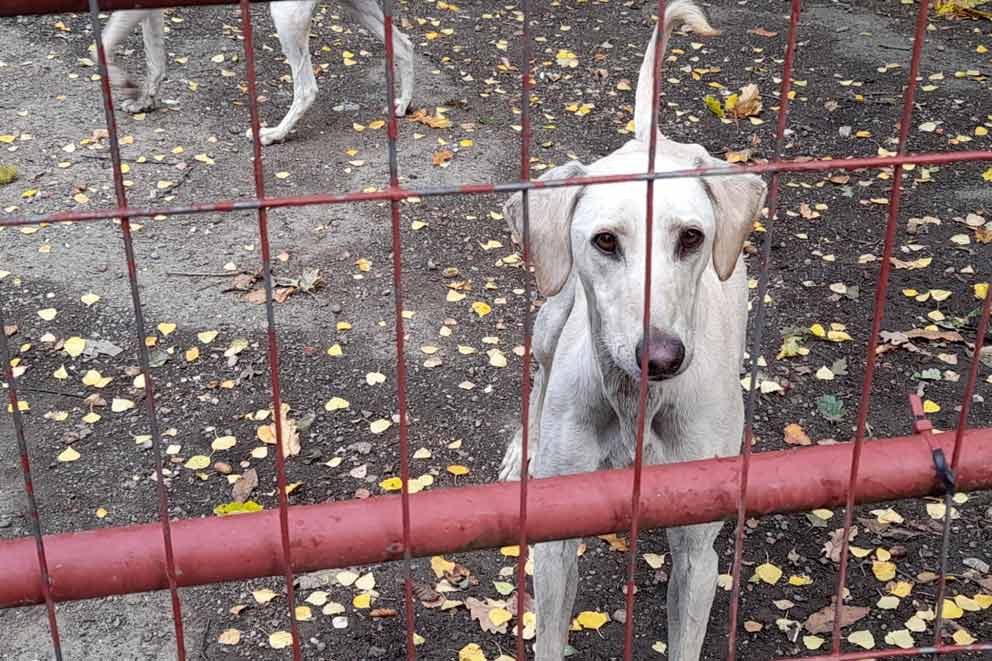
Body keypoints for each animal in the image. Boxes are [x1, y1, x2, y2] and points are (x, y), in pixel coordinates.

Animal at [100, 0, 410, 144]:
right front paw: (144, 100)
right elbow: (154, 61)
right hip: (356, 8)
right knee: (405, 45)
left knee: (306, 88)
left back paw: (274, 133)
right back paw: (403, 105)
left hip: (286, 17)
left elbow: (100, 47)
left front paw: (125, 84)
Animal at [496, 2, 768, 656]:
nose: (662, 357)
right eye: (604, 241)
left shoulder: (698, 553)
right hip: (551, 314)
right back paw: (523, 449)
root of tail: (652, 141)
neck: (634, 404)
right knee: (537, 371)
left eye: (692, 237)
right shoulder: (555, 545)